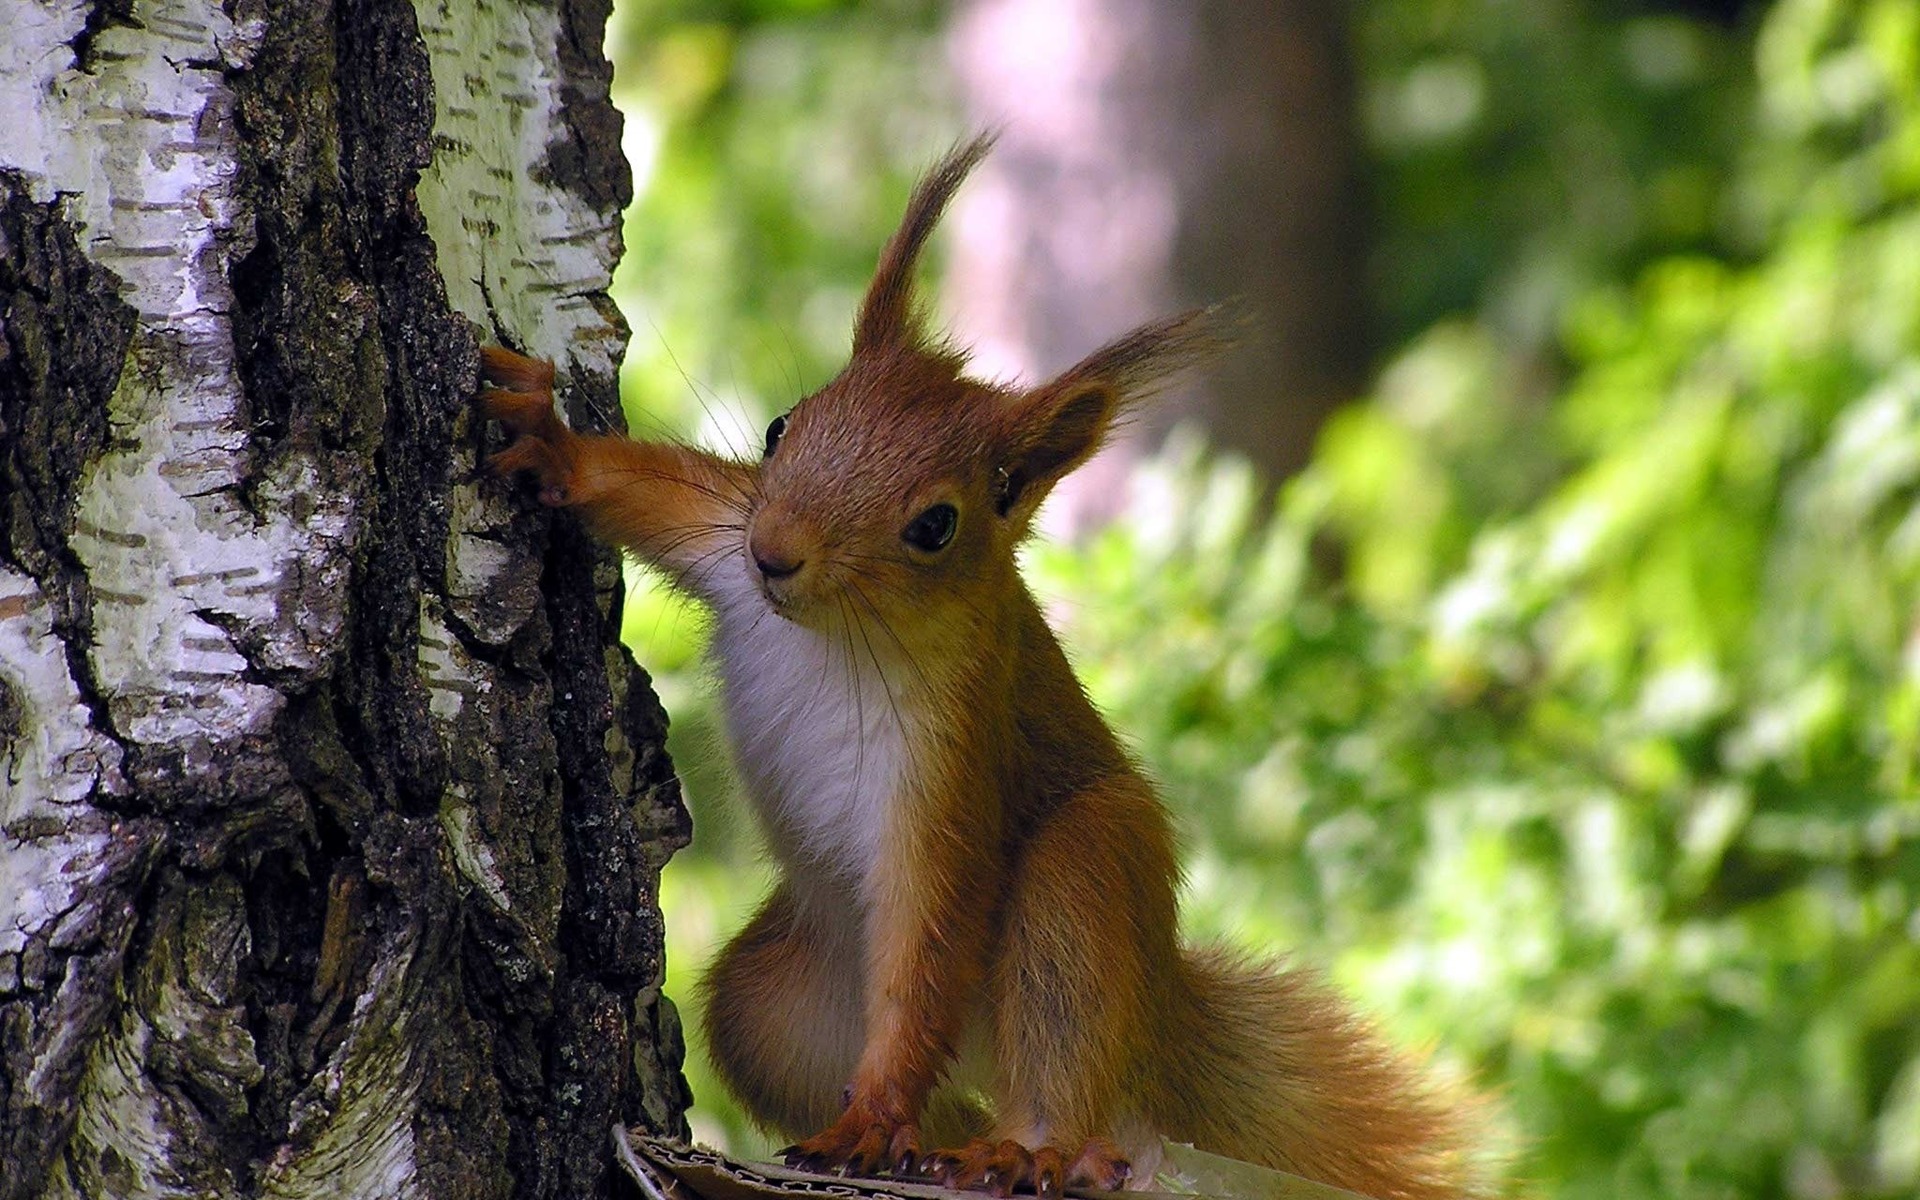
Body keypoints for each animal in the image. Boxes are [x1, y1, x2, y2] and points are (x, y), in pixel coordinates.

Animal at [483, 135, 1482, 1190]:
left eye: (936, 526)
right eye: (782, 427)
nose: (776, 552)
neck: (835, 632)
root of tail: (1157, 1025)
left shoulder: (955, 750)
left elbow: (929, 934)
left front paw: (872, 1115)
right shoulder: (724, 536)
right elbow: (649, 491)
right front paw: (551, 444)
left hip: (1084, 883)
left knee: (1063, 1064)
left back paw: (1023, 1147)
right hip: (776, 1005)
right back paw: (932, 1146)